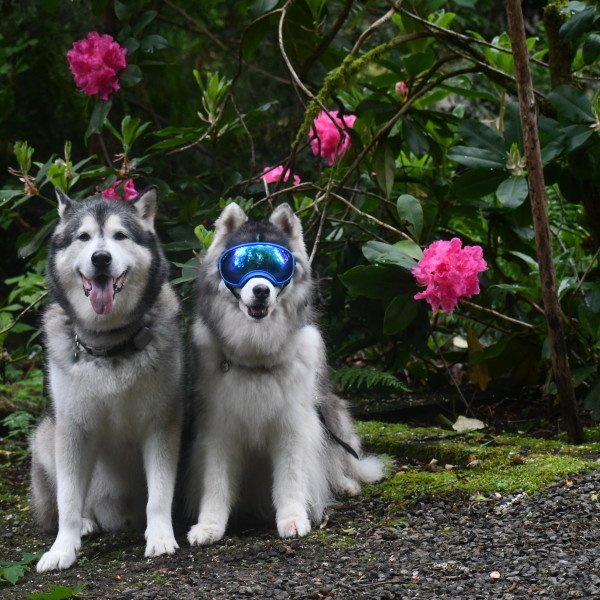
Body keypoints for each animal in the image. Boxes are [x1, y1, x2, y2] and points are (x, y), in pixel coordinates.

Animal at [30, 188, 183, 572]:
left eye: (120, 236)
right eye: (83, 237)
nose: (101, 258)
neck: (109, 343)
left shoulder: (161, 423)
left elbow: (159, 494)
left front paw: (160, 537)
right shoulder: (72, 428)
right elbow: (69, 500)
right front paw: (62, 549)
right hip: (45, 434)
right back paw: (86, 523)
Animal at [188, 202, 384, 544]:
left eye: (278, 265)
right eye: (239, 264)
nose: (261, 290)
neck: (256, 356)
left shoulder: (292, 425)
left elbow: (291, 478)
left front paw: (293, 518)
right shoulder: (218, 428)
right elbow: (216, 482)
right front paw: (210, 525)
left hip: (330, 410)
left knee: (336, 458)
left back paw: (344, 484)